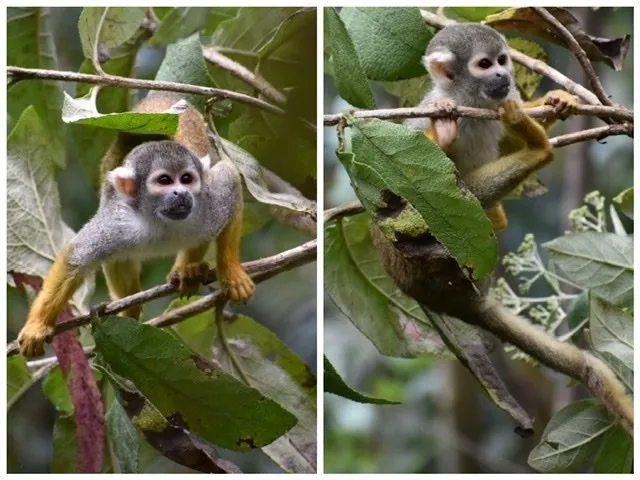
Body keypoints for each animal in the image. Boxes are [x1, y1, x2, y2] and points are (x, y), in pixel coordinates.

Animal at [17, 95, 255, 358]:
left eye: (186, 179)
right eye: (164, 181)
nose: (181, 193)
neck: (161, 221)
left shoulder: (208, 204)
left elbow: (229, 178)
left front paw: (231, 273)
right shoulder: (119, 223)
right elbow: (75, 258)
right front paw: (37, 326)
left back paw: (188, 269)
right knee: (117, 255)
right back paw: (130, 309)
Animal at [372, 23, 633, 433]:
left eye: (502, 60)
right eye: (484, 64)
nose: (502, 76)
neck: (470, 102)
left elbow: (503, 136)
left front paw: (554, 101)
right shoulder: (423, 115)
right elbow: (408, 180)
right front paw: (442, 135)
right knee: (453, 197)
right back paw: (539, 150)